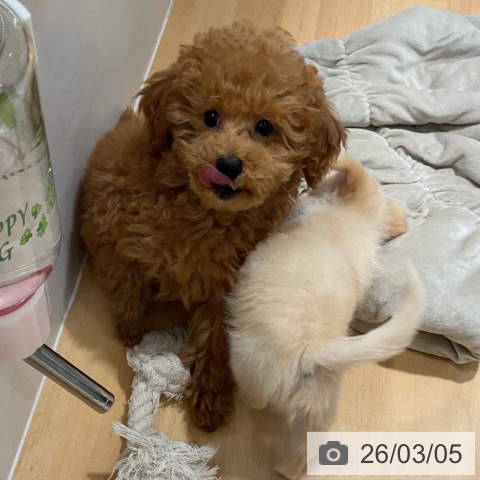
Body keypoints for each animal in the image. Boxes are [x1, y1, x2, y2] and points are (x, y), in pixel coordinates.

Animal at [80, 21, 346, 432]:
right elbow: (126, 279)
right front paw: (130, 327)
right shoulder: (118, 231)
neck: (207, 214)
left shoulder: (227, 287)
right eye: (210, 117)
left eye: (265, 127)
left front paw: (210, 396)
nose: (228, 164)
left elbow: (217, 336)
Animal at [227, 158, 425, 478]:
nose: (303, 189)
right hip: (316, 413)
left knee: (255, 399)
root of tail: (316, 353)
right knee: (301, 454)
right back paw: (284, 469)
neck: (356, 216)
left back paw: (245, 402)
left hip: (248, 364)